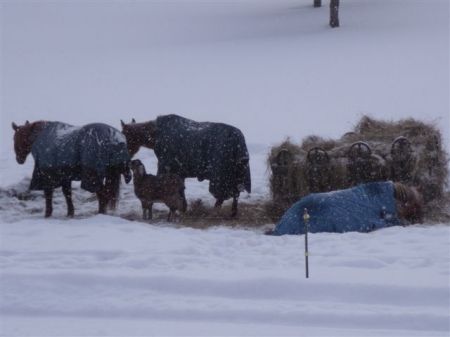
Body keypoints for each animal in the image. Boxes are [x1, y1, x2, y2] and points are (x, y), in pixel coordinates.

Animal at [121, 114, 251, 217]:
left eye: (124, 135)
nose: (125, 159)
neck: (154, 136)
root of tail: (239, 140)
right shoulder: (179, 173)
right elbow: (181, 192)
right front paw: (183, 209)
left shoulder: (166, 167)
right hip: (237, 175)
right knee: (234, 194)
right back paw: (232, 213)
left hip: (221, 178)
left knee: (225, 195)